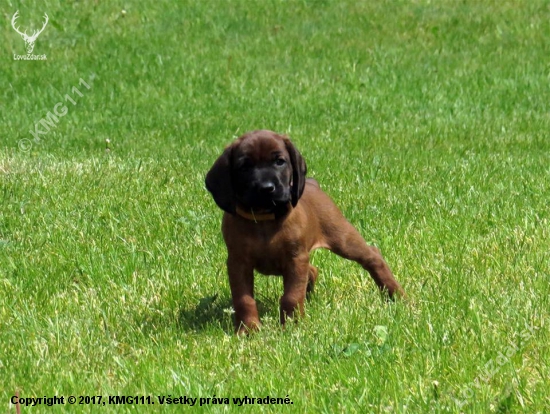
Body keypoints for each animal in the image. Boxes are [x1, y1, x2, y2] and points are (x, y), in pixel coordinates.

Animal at [207, 131, 406, 334]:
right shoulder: (238, 263)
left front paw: (292, 325)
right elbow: (244, 299)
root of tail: (312, 184)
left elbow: (291, 296)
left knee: (373, 256)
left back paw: (397, 295)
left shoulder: (295, 259)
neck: (265, 219)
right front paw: (249, 328)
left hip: (343, 239)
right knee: (312, 270)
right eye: (245, 166)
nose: (266, 188)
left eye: (280, 161)